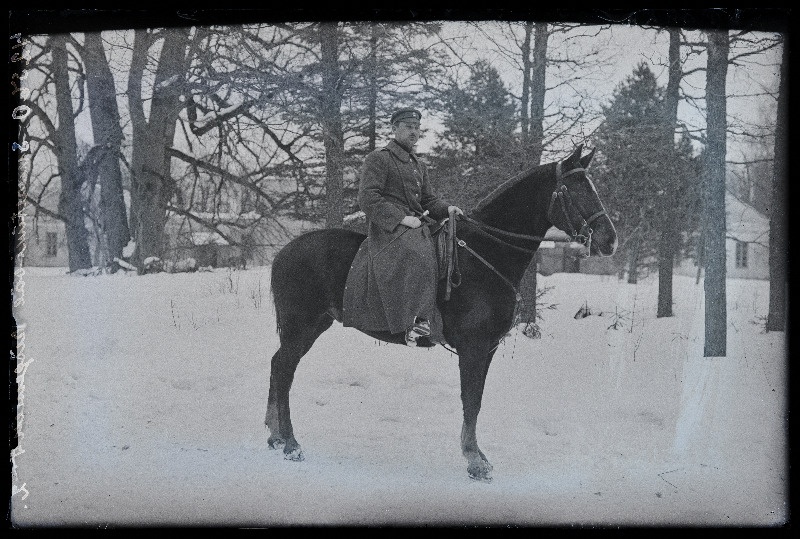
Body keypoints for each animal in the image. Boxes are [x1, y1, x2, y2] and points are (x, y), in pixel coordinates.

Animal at [266, 143, 616, 480]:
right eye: (573, 189)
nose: (610, 240)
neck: (485, 256)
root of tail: (284, 252)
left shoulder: (487, 348)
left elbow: (476, 399)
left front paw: (478, 455)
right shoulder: (474, 347)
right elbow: (470, 400)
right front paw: (474, 460)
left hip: (312, 325)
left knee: (278, 364)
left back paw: (275, 435)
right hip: (301, 326)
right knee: (284, 370)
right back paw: (291, 443)